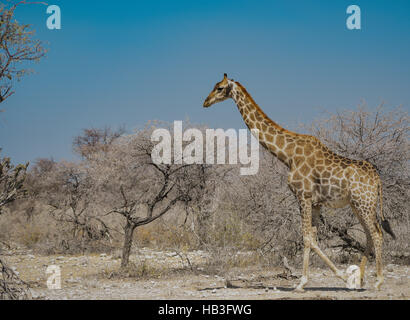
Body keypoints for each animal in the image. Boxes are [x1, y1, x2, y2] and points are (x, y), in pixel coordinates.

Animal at [203, 74, 396, 292]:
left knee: (377, 233)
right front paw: (340, 277)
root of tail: (377, 179)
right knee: (370, 234)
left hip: (364, 203)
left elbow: (306, 238)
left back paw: (377, 281)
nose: (205, 102)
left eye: (219, 88)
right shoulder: (316, 203)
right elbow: (313, 238)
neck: (288, 155)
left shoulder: (303, 195)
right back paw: (360, 279)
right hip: (358, 205)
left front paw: (302, 282)